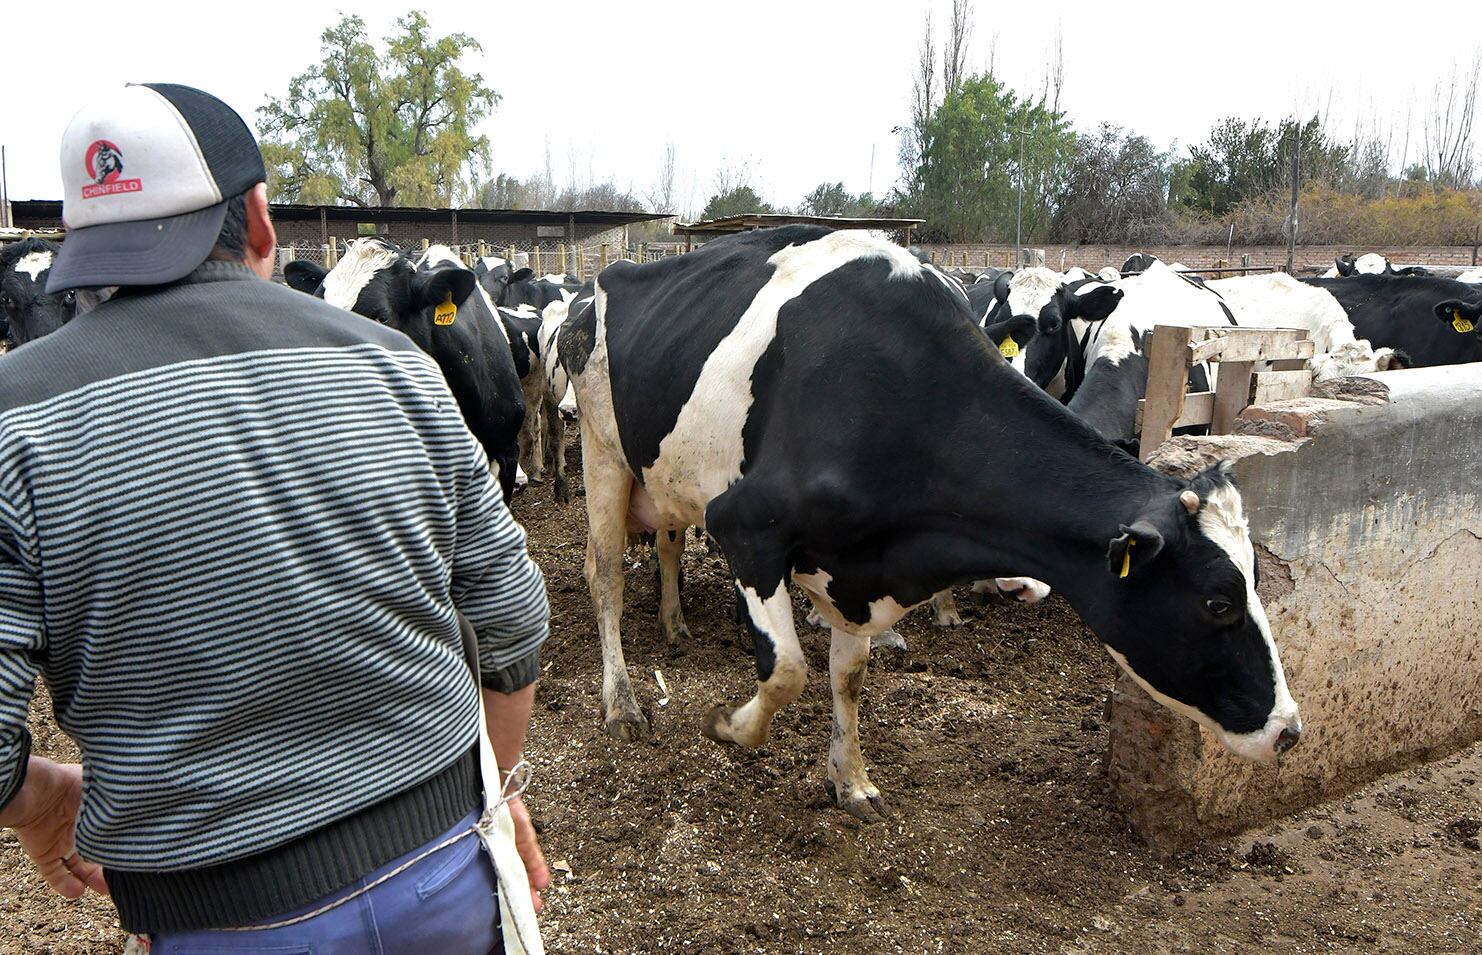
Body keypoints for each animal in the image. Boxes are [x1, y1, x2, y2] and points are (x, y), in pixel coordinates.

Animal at [560, 225, 1304, 818]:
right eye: (1217, 602)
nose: (1290, 730)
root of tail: (603, 278)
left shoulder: (854, 566)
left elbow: (848, 675)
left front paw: (851, 780)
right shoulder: (745, 525)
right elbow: (787, 670)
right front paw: (730, 727)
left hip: (664, 477)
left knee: (665, 543)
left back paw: (674, 623)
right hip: (602, 452)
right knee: (605, 578)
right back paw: (622, 702)